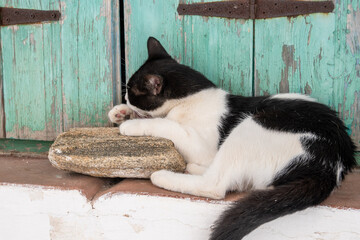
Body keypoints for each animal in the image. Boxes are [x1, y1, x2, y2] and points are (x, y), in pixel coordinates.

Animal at [108, 36, 356, 239]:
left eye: (132, 93)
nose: (125, 99)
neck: (193, 98)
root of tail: (332, 163)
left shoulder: (201, 146)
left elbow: (167, 124)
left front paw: (132, 123)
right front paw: (119, 113)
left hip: (252, 126)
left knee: (215, 185)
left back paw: (165, 175)